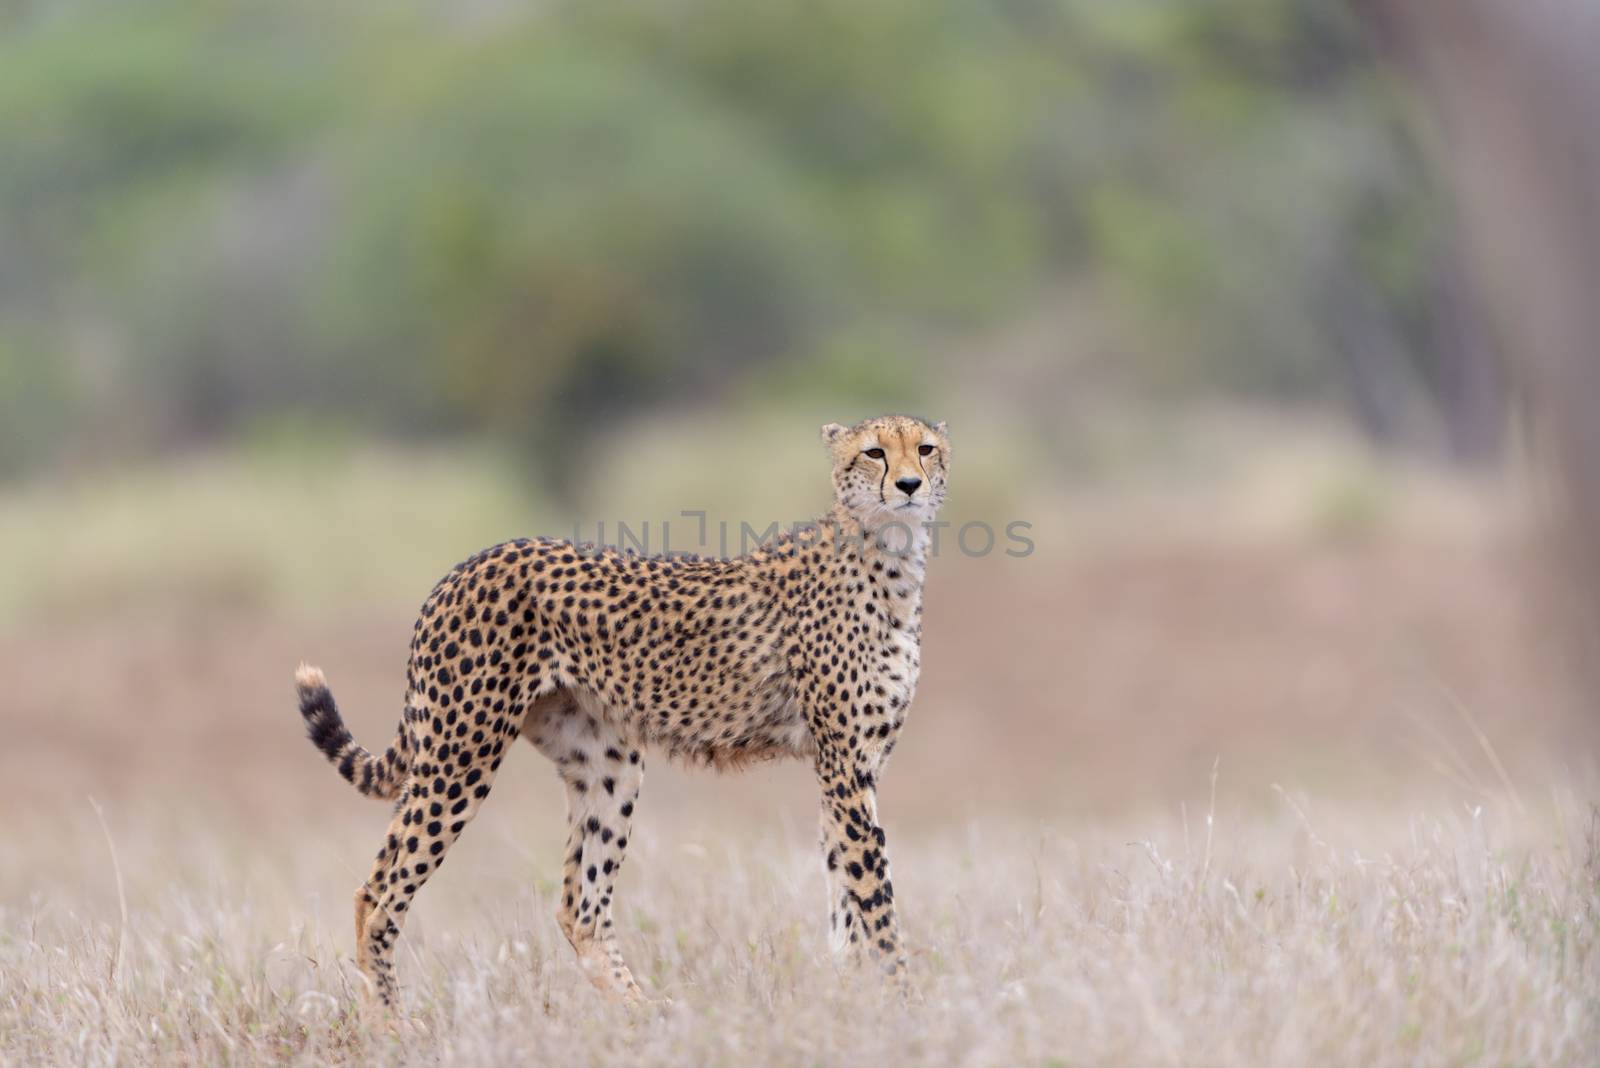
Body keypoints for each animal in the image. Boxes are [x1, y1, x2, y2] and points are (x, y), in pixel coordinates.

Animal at [297, 412, 947, 1004]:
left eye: (925, 448)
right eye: (873, 452)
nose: (909, 484)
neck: (888, 557)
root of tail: (464, 566)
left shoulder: (850, 768)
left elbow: (846, 897)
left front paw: (854, 1000)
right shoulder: (844, 765)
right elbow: (875, 898)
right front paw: (903, 1006)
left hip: (605, 762)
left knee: (580, 908)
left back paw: (646, 1020)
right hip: (461, 752)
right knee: (378, 895)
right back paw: (392, 1027)